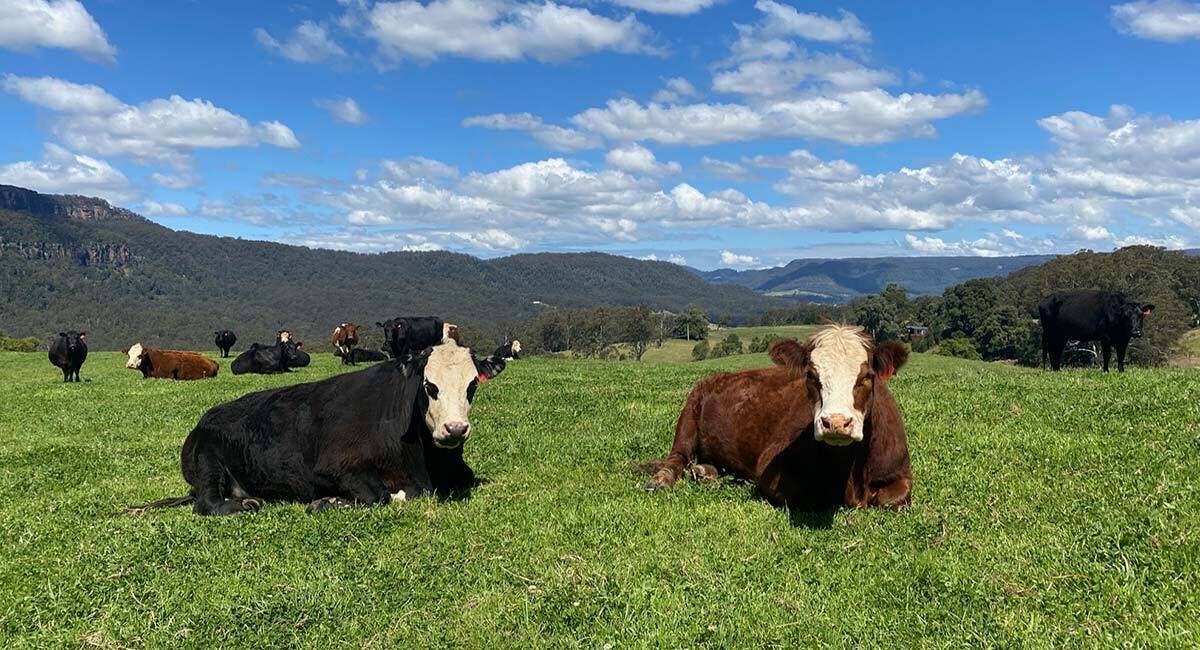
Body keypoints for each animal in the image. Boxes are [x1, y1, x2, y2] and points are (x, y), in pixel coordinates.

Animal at [131, 339, 506, 515]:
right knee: (207, 503)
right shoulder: (334, 466)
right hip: (209, 464)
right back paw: (245, 505)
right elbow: (380, 496)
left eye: (472, 385)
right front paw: (327, 502)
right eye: (430, 385)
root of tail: (203, 420)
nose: (454, 429)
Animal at [644, 325, 912, 512]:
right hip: (689, 412)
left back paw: (705, 472)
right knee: (677, 459)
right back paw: (662, 480)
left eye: (867, 375)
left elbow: (892, 498)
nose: (835, 423)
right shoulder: (770, 467)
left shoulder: (901, 472)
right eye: (811, 375)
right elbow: (810, 495)